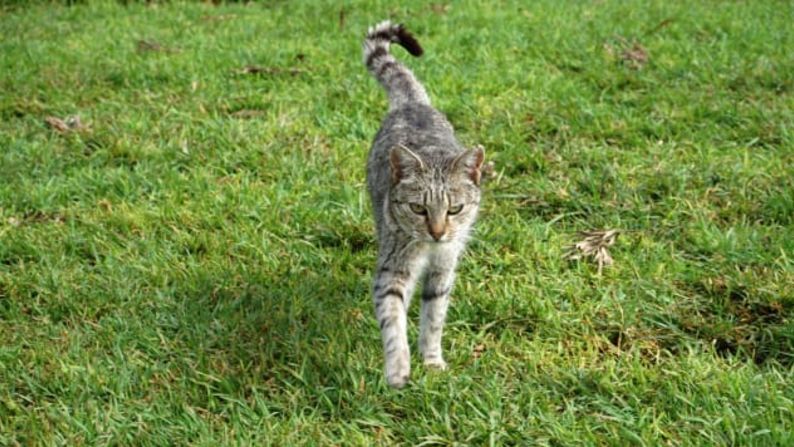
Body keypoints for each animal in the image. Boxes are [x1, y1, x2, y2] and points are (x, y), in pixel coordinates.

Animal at [360, 21, 482, 388]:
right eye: (418, 209)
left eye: (455, 209)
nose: (438, 232)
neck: (429, 250)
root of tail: (412, 104)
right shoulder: (392, 271)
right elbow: (393, 322)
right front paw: (398, 368)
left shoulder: (444, 270)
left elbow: (433, 319)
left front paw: (431, 360)